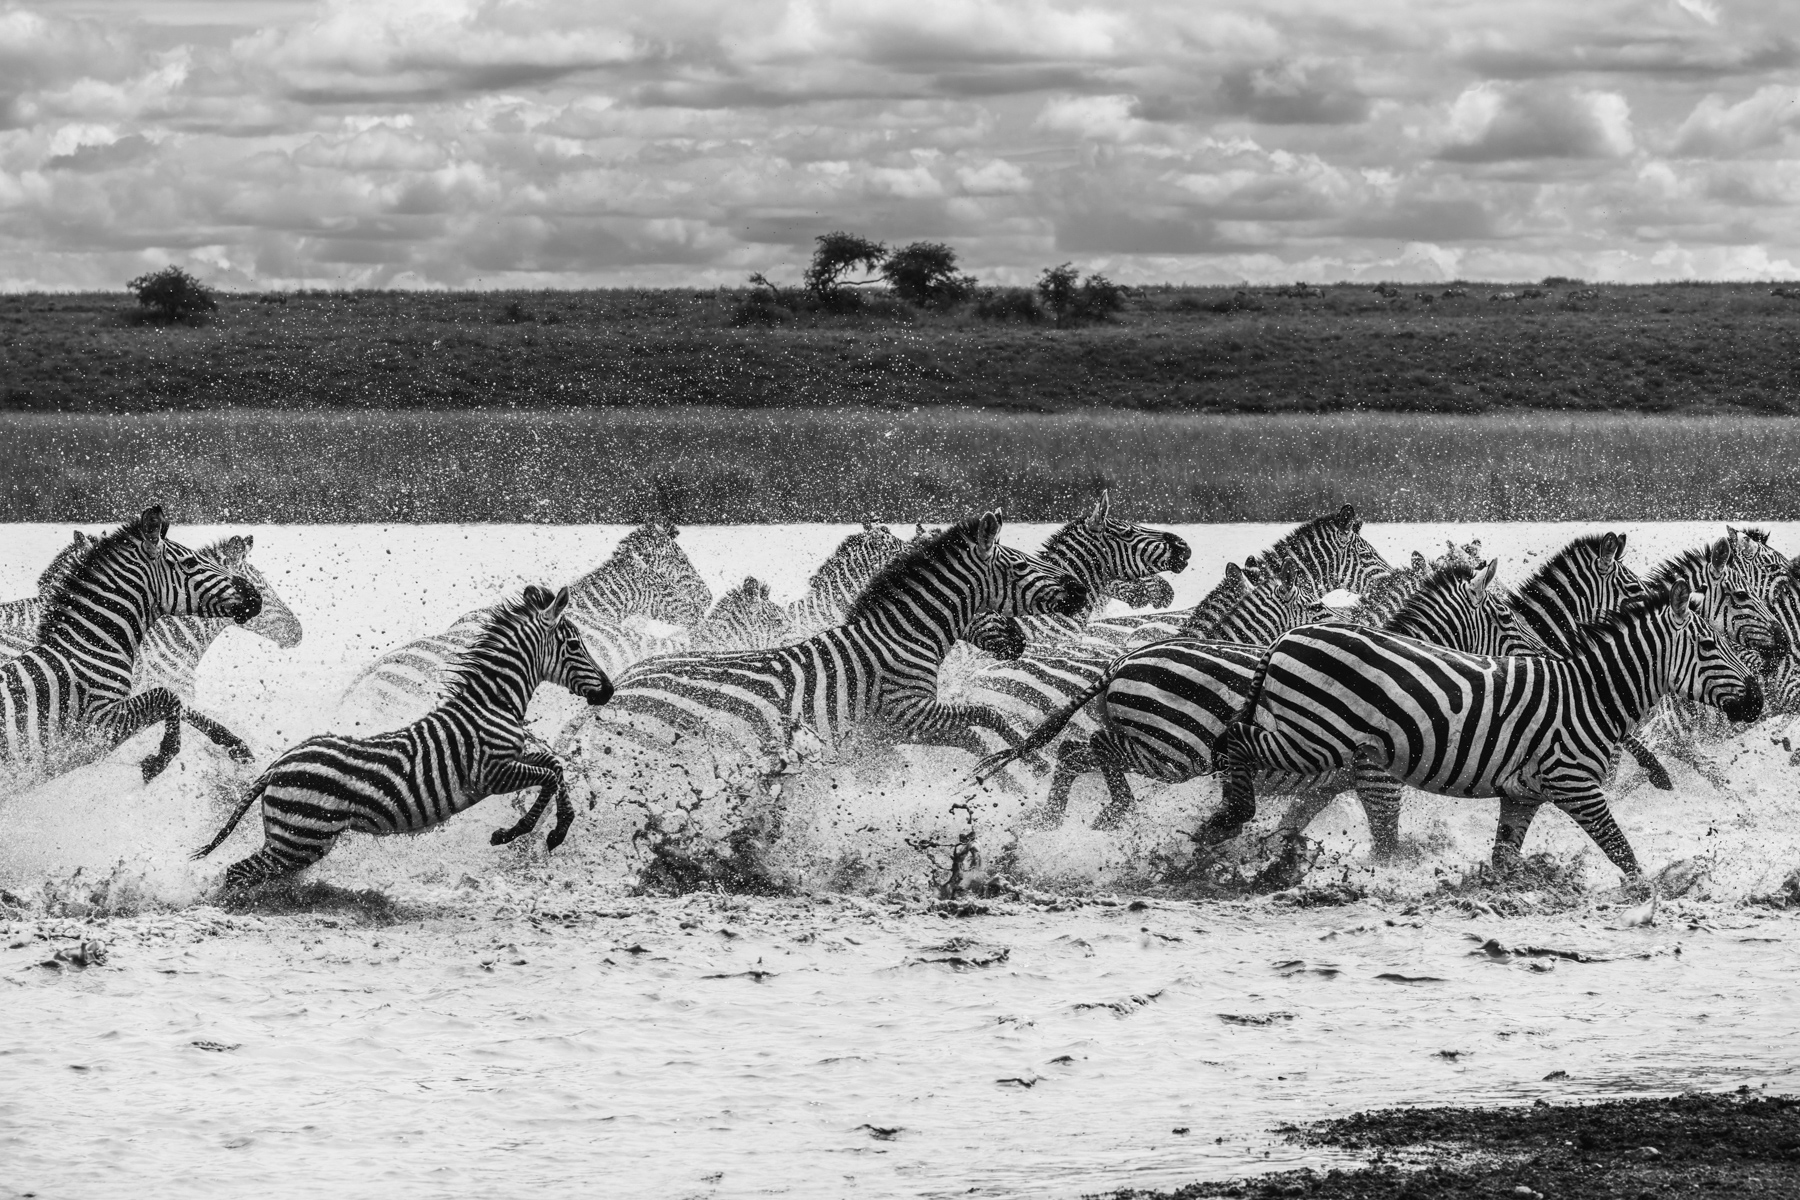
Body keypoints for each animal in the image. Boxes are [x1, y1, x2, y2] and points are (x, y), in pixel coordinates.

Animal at [0, 506, 262, 786]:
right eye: (191, 563)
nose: (254, 595)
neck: (91, 645)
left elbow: (177, 702)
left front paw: (233, 745)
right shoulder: (98, 727)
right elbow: (169, 697)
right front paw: (158, 761)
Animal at [193, 586, 614, 890]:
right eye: (575, 645)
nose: (608, 691)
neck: (492, 703)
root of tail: (277, 765)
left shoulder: (512, 761)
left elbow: (555, 766)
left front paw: (549, 830)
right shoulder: (492, 774)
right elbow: (551, 776)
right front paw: (521, 831)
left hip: (294, 840)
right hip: (301, 838)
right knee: (236, 873)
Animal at [562, 512, 1089, 766]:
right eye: (1019, 565)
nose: (1080, 591)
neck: (904, 638)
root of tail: (619, 689)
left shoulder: (885, 737)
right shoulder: (910, 714)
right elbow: (988, 718)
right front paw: (1030, 764)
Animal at [1210, 580, 1763, 879]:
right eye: (1710, 646)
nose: (1757, 700)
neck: (1591, 696)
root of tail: (1285, 638)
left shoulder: (1522, 795)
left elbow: (1504, 860)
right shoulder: (1576, 785)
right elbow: (1622, 852)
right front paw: (1652, 893)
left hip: (1312, 740)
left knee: (1236, 738)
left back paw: (1222, 824)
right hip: (1312, 737)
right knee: (1232, 737)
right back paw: (1231, 814)